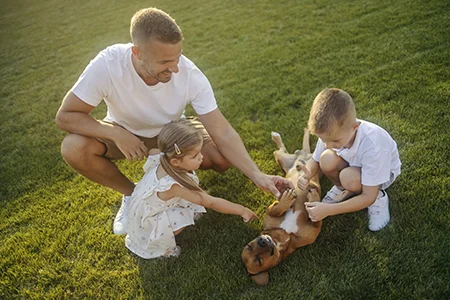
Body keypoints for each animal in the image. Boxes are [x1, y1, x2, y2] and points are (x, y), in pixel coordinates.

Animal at [241, 129, 322, 286]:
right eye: (258, 260)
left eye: (249, 245)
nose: (262, 241)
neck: (284, 235)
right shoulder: (314, 230)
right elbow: (315, 216)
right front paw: (311, 198)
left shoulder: (269, 213)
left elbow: (275, 209)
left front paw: (286, 200)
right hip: (282, 157)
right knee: (283, 150)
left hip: (286, 158)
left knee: (287, 150)